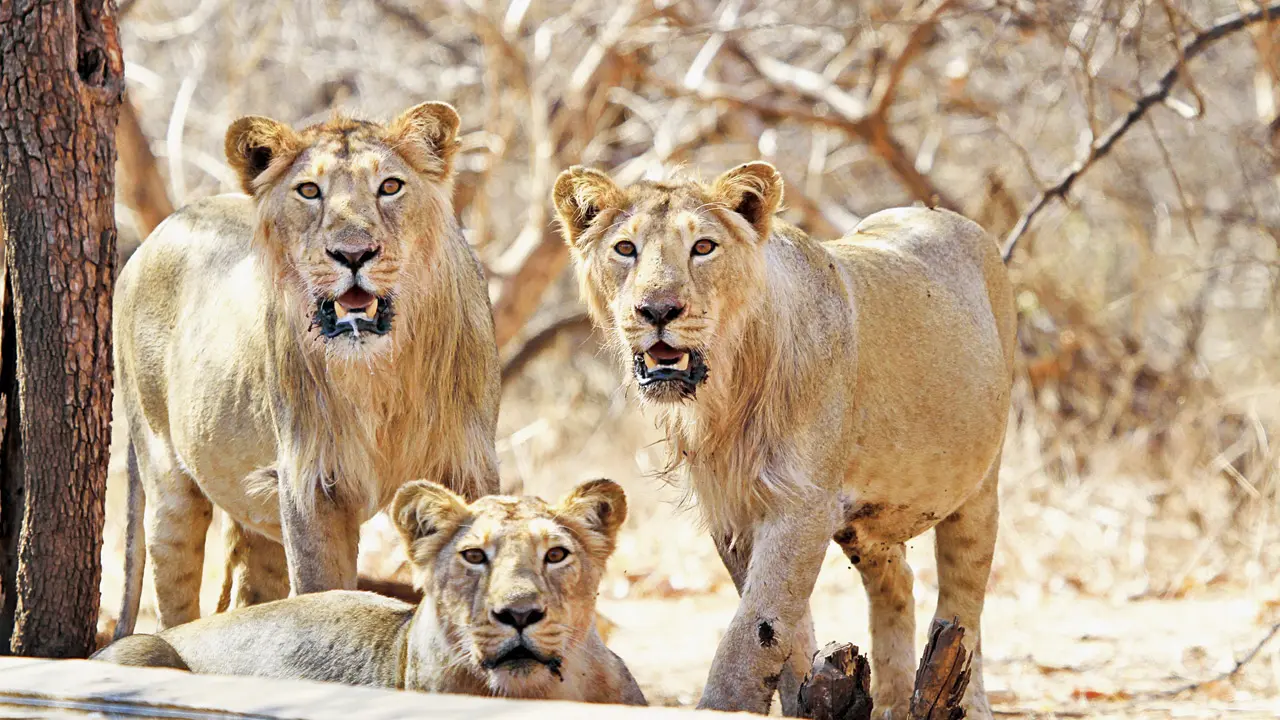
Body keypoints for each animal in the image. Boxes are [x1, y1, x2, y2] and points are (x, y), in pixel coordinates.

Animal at [111, 102, 500, 639]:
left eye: (390, 186)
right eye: (309, 191)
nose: (353, 254)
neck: (381, 373)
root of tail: (158, 231)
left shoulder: (469, 466)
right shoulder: (310, 483)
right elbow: (322, 592)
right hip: (167, 479)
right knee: (176, 600)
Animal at [553, 163, 1014, 719]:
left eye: (703, 247)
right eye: (625, 249)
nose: (657, 310)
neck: (728, 391)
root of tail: (950, 217)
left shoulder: (802, 503)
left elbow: (757, 627)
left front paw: (725, 703)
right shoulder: (733, 510)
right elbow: (785, 633)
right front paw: (807, 698)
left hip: (979, 489)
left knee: (964, 610)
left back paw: (964, 701)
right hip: (866, 524)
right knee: (898, 583)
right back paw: (892, 701)